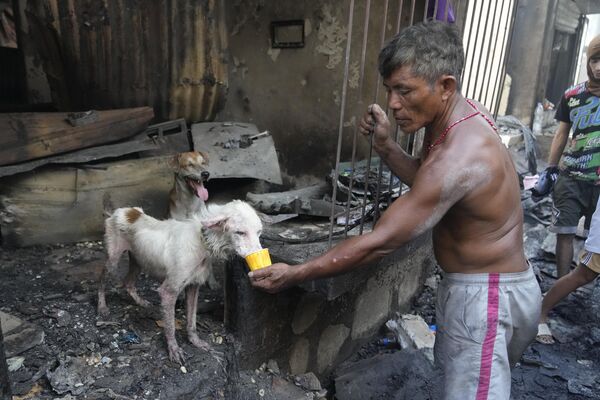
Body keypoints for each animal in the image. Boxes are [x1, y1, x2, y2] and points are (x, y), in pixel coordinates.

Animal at [98, 202, 262, 364]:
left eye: (259, 232)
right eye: (240, 232)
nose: (259, 257)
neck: (202, 240)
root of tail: (123, 211)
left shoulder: (193, 286)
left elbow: (192, 321)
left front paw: (195, 341)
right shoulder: (168, 291)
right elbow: (170, 326)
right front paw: (174, 349)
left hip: (139, 260)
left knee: (128, 283)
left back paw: (141, 302)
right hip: (113, 260)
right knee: (102, 280)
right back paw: (102, 307)